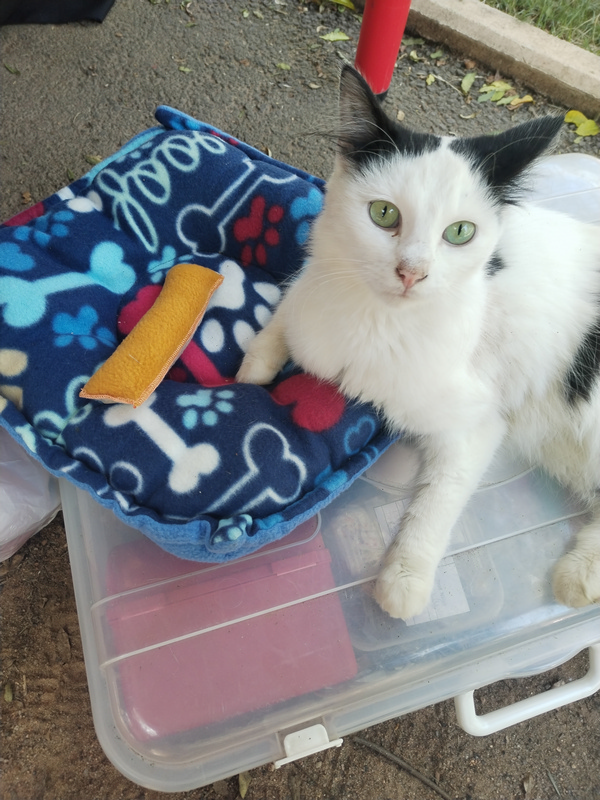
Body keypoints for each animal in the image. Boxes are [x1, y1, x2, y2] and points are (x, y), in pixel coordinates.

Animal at [237, 65, 600, 620]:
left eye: (461, 232)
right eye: (384, 214)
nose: (413, 272)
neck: (379, 319)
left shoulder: (476, 422)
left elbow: (437, 499)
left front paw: (404, 581)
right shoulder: (314, 287)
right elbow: (288, 314)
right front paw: (251, 368)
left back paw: (578, 577)